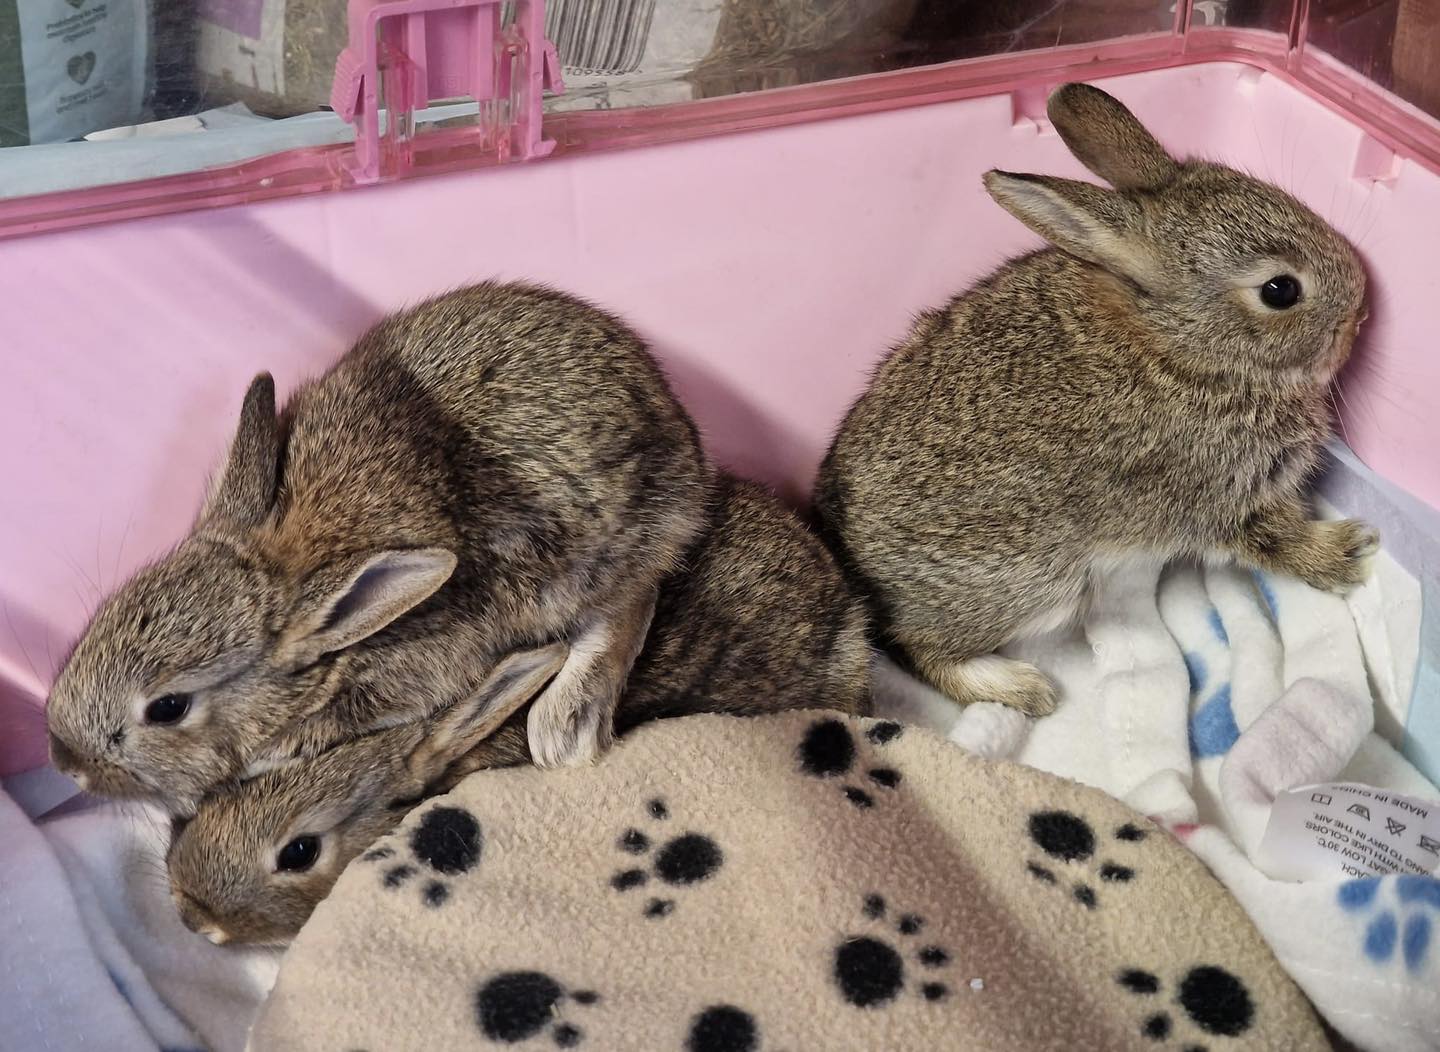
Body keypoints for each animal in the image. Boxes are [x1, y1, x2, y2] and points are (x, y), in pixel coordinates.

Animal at [46, 281, 713, 813]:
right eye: (105, 611)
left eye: (168, 708)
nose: (64, 763)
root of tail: (672, 415)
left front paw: (269, 754)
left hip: (605, 555)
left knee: (630, 602)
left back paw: (565, 729)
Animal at [813, 82, 1376, 720]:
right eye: (1281, 290)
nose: (1363, 308)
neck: (1185, 348)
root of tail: (843, 551)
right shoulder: (1223, 494)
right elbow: (1275, 539)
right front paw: (1346, 554)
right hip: (1035, 580)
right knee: (917, 650)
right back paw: (1019, 688)